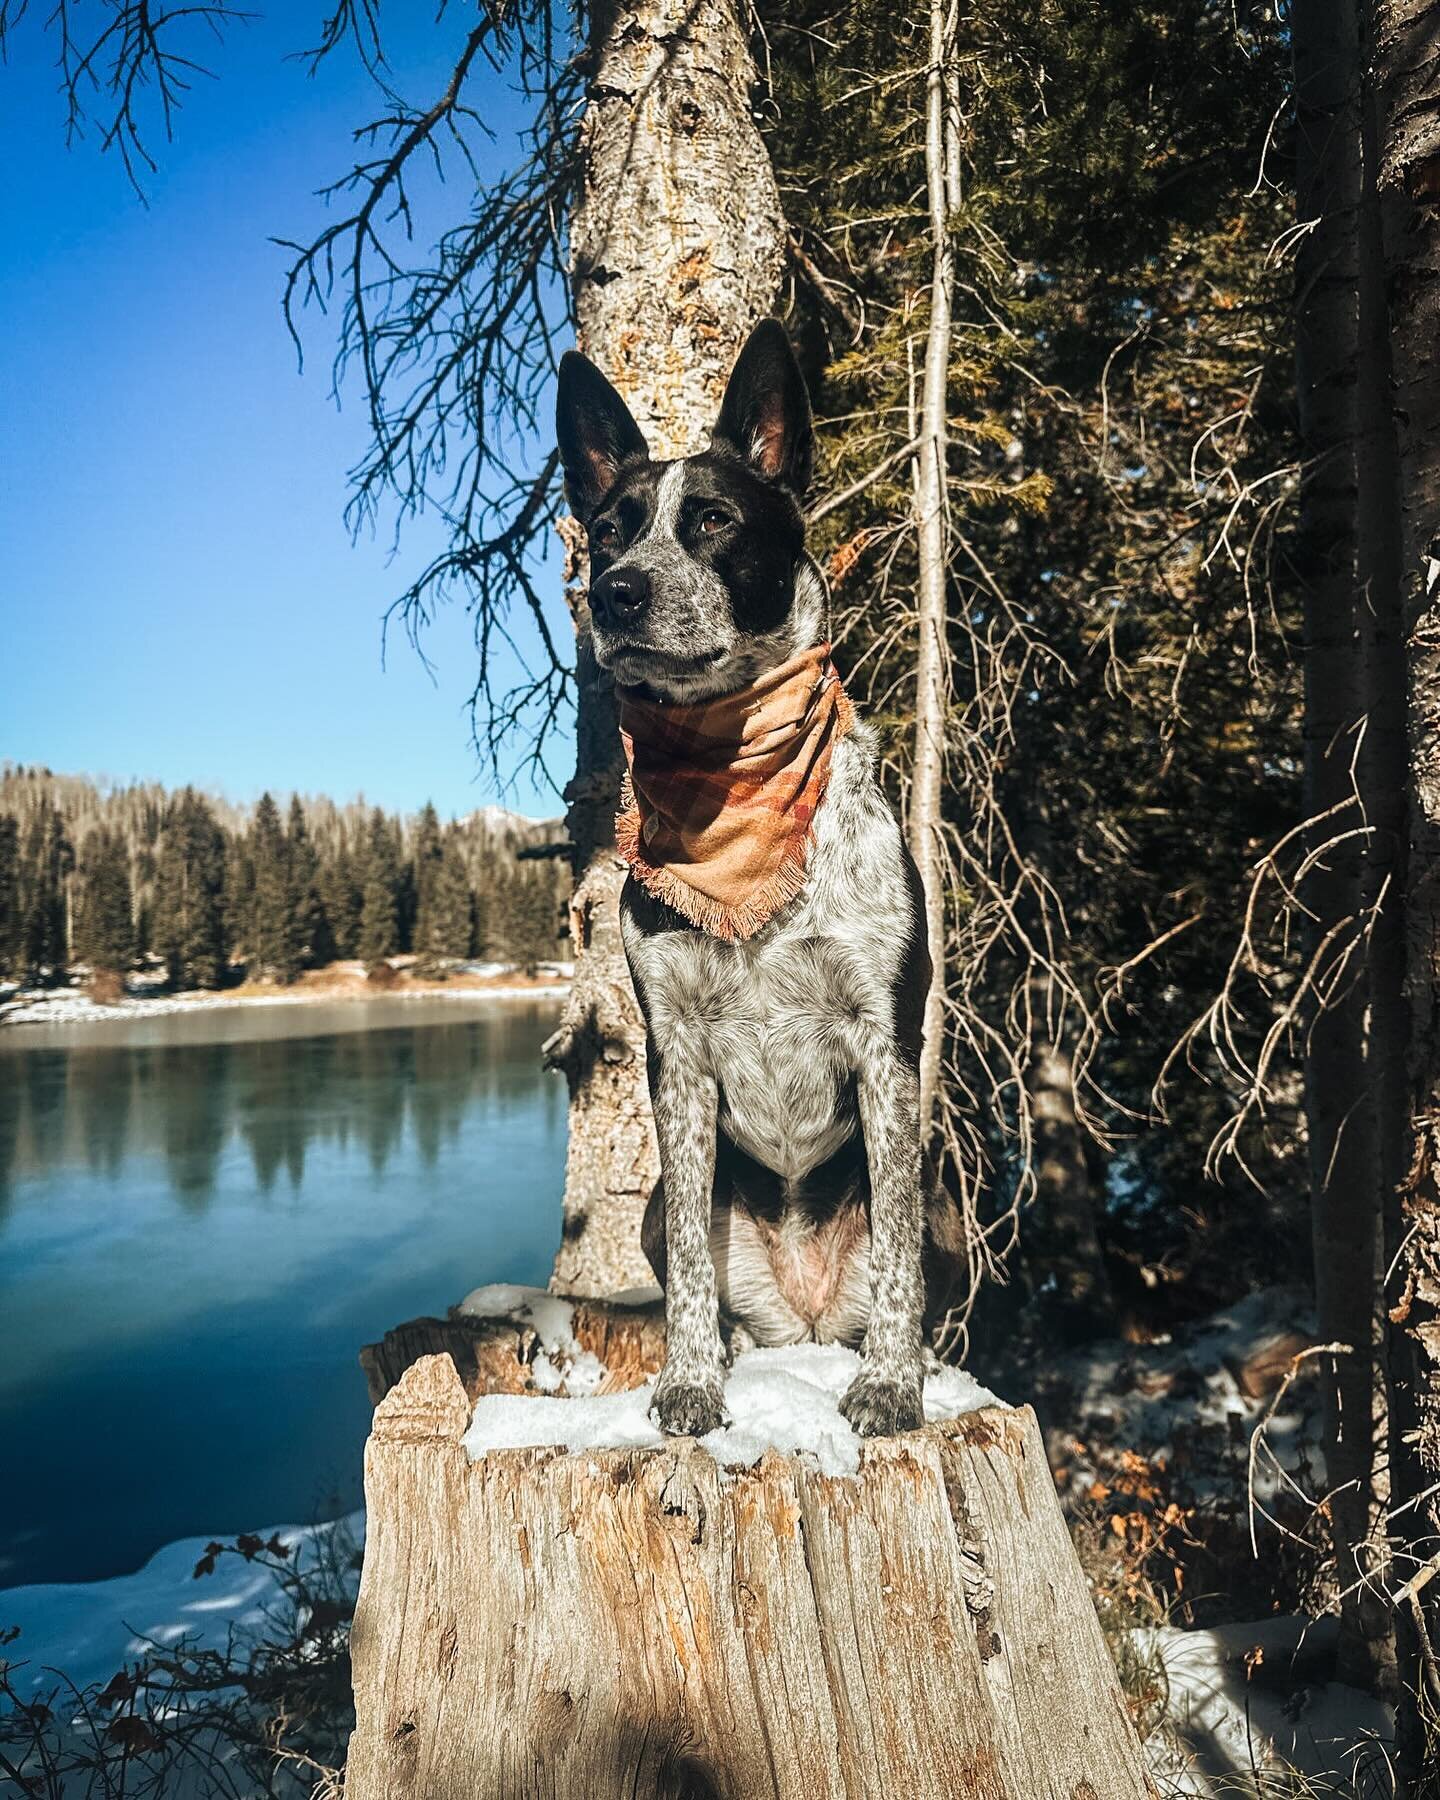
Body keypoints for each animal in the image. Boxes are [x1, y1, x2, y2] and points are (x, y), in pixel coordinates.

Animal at [558, 324, 964, 1440]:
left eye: (711, 521)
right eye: (607, 532)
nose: (616, 591)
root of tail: (807, 1319)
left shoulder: (882, 1042)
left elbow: (898, 1255)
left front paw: (890, 1386)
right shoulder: (678, 1056)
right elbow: (696, 1273)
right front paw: (691, 1382)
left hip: (946, 1201)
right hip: (662, 1207)